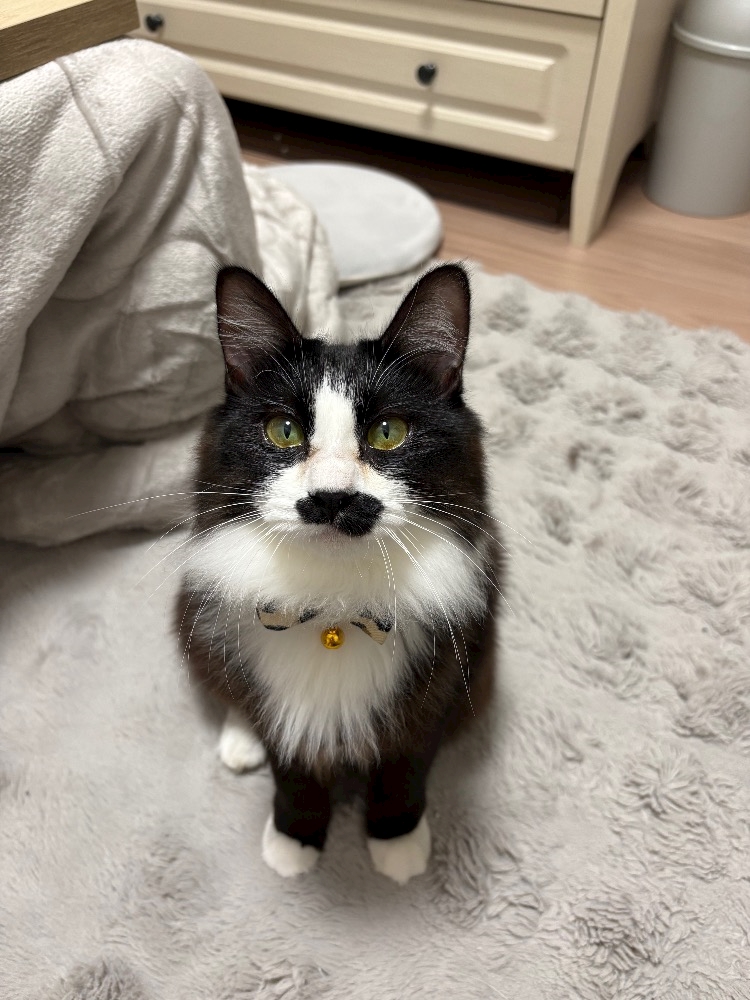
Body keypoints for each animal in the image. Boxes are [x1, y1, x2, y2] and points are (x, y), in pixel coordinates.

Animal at [175, 263, 499, 884]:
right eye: (282, 431)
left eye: (388, 433)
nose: (330, 498)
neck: (335, 608)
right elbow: (292, 768)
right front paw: (294, 841)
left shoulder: (443, 677)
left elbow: (405, 766)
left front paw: (397, 841)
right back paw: (240, 739)